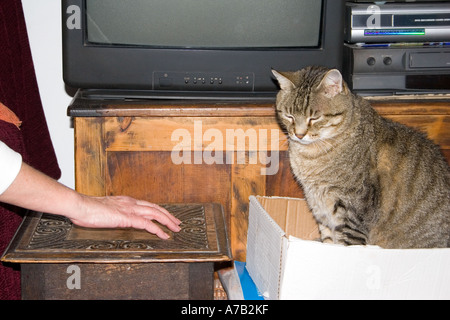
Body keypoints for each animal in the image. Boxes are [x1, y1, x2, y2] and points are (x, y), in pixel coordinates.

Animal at [272, 66, 448, 249]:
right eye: (289, 116)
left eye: (315, 118)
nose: (298, 135)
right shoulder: (320, 207)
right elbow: (328, 241)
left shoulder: (353, 211)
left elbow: (347, 244)